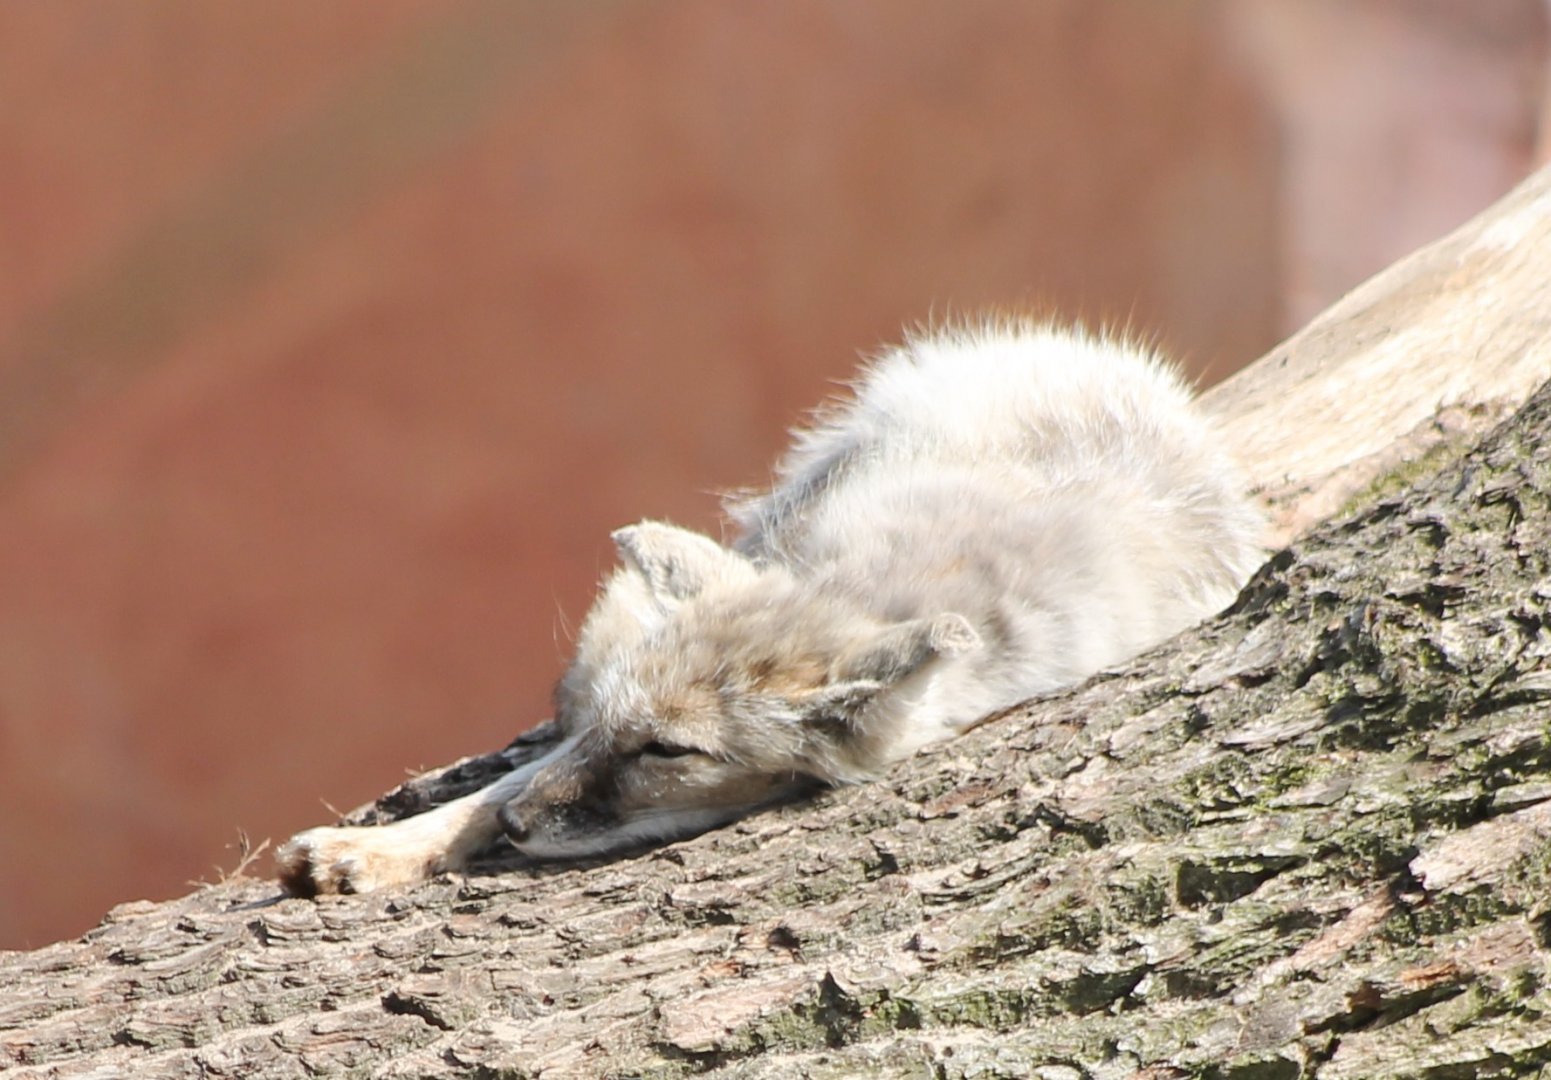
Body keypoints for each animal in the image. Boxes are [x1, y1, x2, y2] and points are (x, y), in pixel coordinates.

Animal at [276, 319, 1265, 896]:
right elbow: (493, 787)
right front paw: (387, 847)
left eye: (667, 752)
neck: (876, 581)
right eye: (618, 729)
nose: (521, 831)